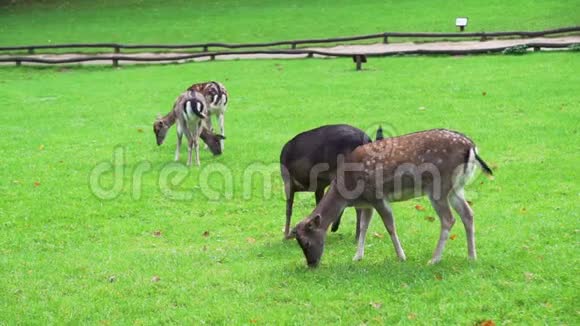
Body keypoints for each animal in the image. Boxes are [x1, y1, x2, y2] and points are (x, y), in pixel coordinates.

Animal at [294, 129, 494, 266]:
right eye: (298, 243)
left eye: (306, 241)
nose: (311, 264)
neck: (348, 189)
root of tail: (471, 148)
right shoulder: (367, 203)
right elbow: (364, 227)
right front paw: (357, 256)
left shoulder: (377, 196)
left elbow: (389, 226)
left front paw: (401, 256)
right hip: (456, 188)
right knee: (468, 214)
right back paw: (471, 256)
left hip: (439, 187)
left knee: (448, 219)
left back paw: (434, 259)